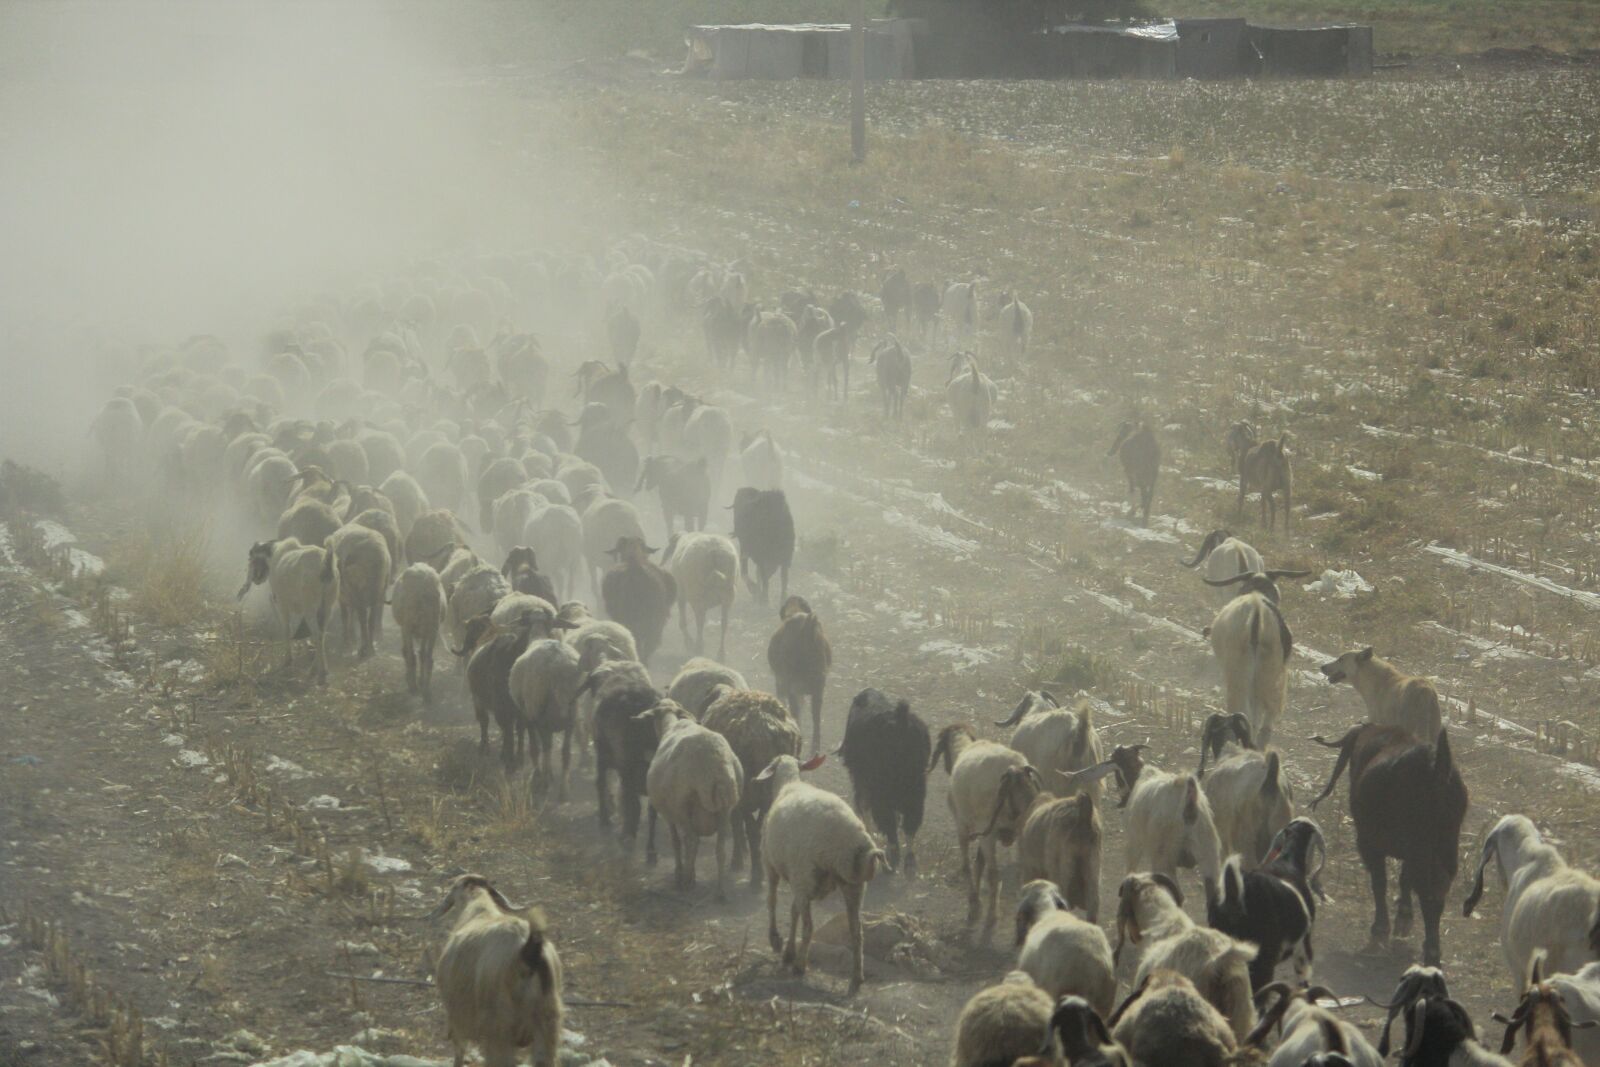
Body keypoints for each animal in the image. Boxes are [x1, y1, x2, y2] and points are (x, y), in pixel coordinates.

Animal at [1310, 724, 1468, 966]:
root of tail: (1435, 767)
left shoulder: (1369, 844)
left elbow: (1380, 883)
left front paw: (1380, 926)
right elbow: (1404, 879)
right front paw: (1404, 915)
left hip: (1415, 847)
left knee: (1427, 892)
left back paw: (1431, 951)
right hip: (1445, 848)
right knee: (1438, 889)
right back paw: (1431, 946)